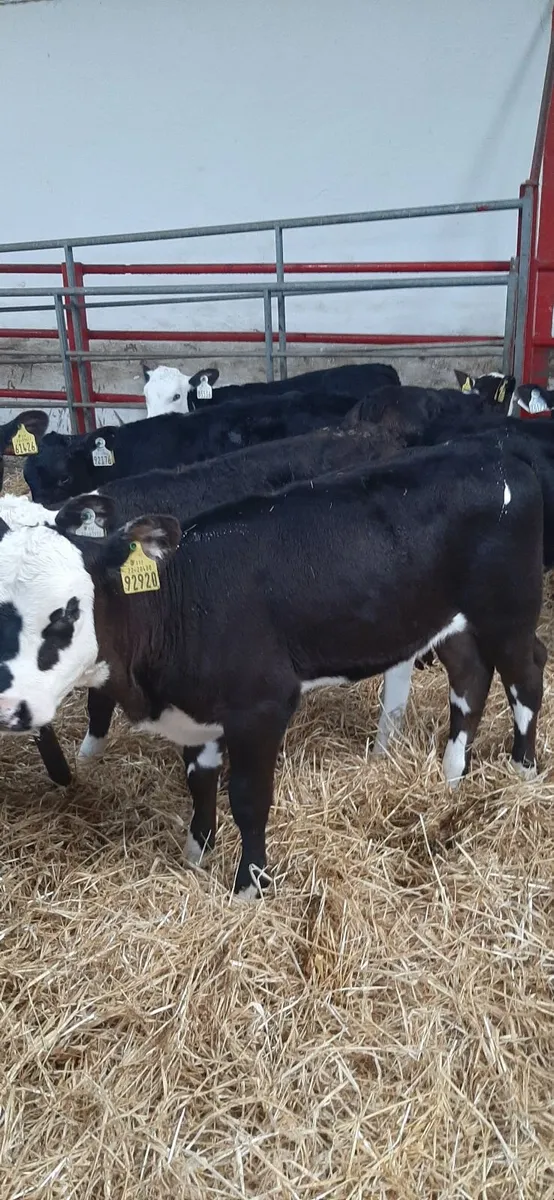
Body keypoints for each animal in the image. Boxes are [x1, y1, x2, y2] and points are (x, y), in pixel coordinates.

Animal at [0, 436, 545, 895]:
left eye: (66, 613)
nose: (10, 709)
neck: (182, 600)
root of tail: (497, 455)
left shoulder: (261, 706)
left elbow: (248, 799)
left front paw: (250, 887)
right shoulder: (199, 713)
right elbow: (200, 783)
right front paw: (196, 854)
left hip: (508, 614)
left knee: (527, 676)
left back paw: (523, 772)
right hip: (447, 622)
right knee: (469, 679)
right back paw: (452, 777)